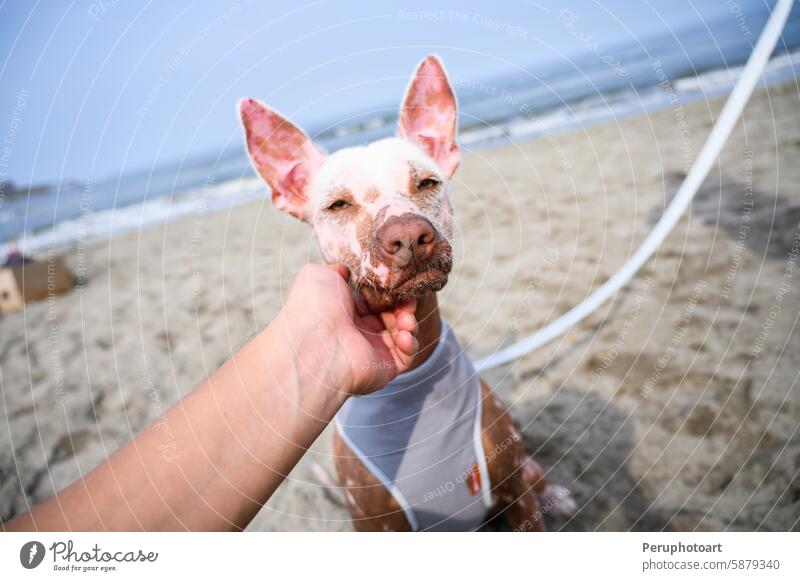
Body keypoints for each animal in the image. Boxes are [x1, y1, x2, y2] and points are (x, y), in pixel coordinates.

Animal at [238, 54, 576, 532]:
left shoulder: (517, 497)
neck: (412, 379)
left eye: (427, 183)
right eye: (338, 205)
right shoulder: (375, 522)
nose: (409, 236)